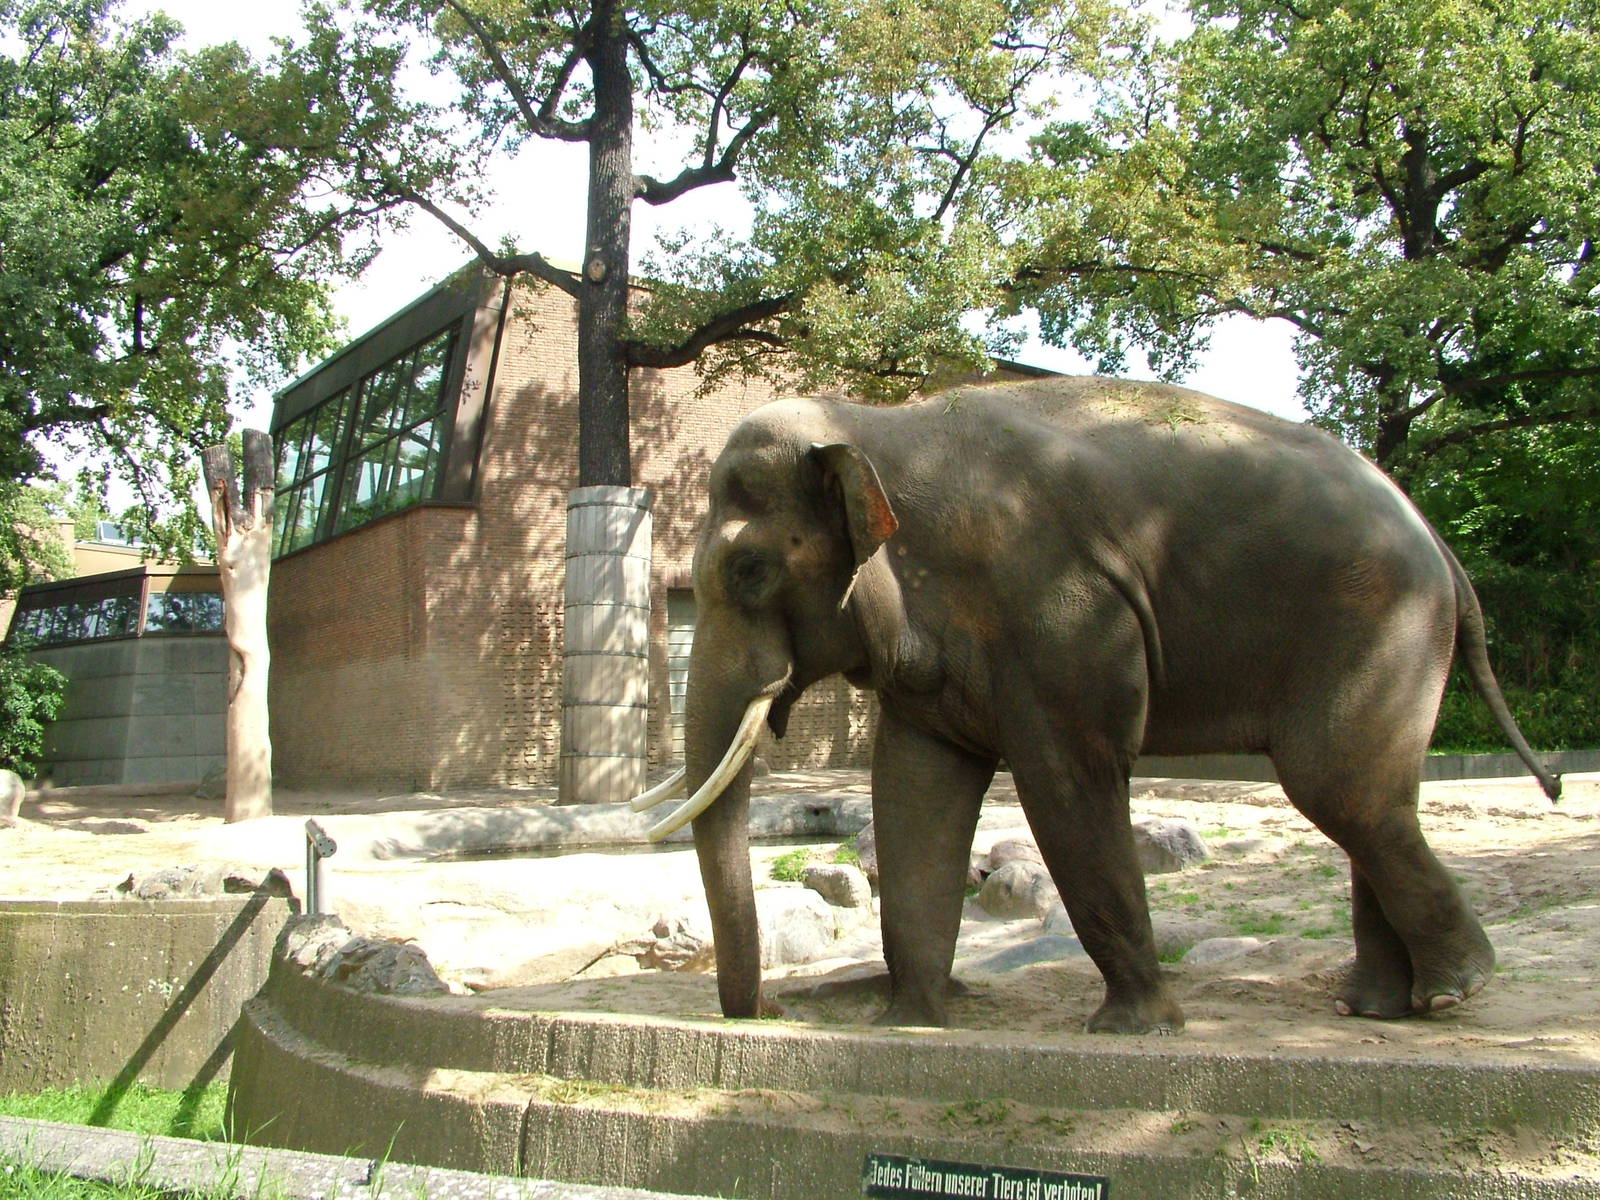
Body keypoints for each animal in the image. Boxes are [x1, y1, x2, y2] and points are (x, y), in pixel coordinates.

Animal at [631, 375, 1560, 1035]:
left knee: (1340, 787)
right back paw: (1383, 1008)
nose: (773, 1008)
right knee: (1372, 795)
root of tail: (1434, 533)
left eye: (750, 571)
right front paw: (909, 1021)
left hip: (1376, 623)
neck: (877, 426)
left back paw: (1454, 992)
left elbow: (1066, 781)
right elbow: (914, 789)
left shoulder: (1058, 612)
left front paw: (1134, 1030)